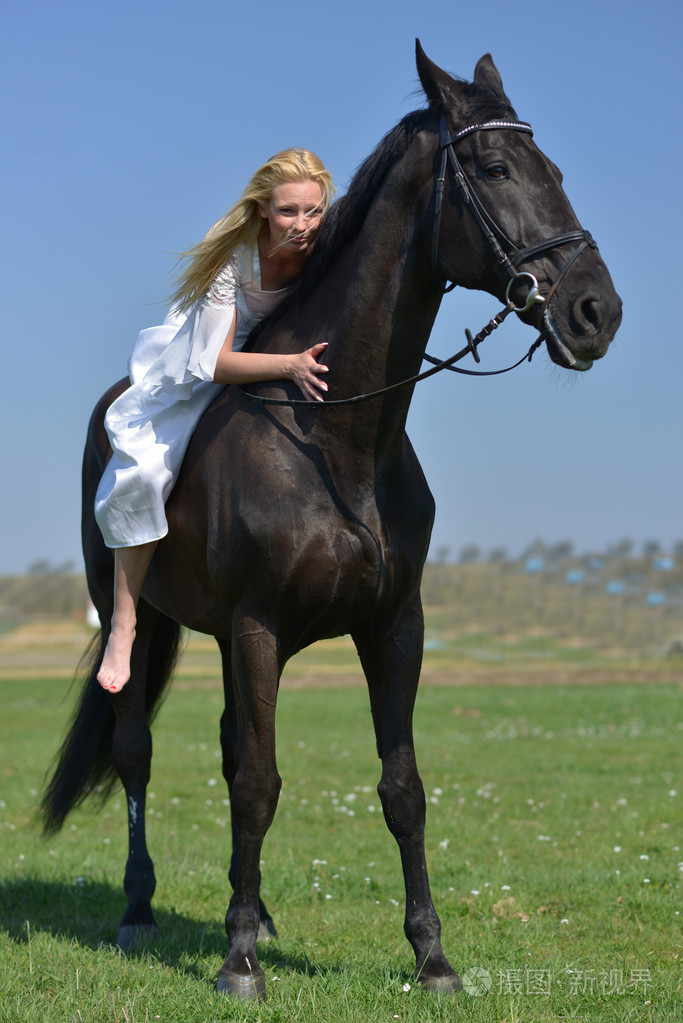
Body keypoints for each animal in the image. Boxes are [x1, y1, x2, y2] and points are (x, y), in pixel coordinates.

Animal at [41, 42, 622, 999]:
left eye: (556, 172)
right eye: (494, 168)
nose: (594, 312)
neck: (335, 440)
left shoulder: (392, 626)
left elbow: (399, 788)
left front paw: (430, 956)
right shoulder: (259, 625)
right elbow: (259, 785)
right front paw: (239, 961)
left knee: (227, 746)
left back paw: (259, 909)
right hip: (154, 616)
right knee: (136, 747)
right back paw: (139, 909)